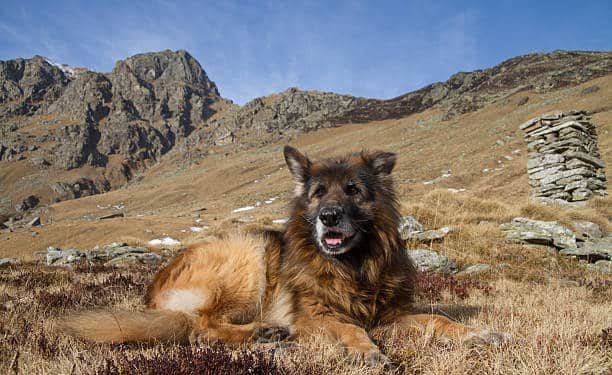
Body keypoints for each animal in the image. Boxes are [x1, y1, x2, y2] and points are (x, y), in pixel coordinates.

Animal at [64, 147, 510, 370]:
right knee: (200, 328)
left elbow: (439, 320)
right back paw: (264, 333)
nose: (329, 217)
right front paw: (368, 353)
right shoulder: (314, 318)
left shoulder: (392, 316)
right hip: (246, 255)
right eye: (317, 194)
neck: (351, 268)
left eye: (352, 190)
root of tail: (156, 286)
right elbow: (351, 329)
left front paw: (480, 333)